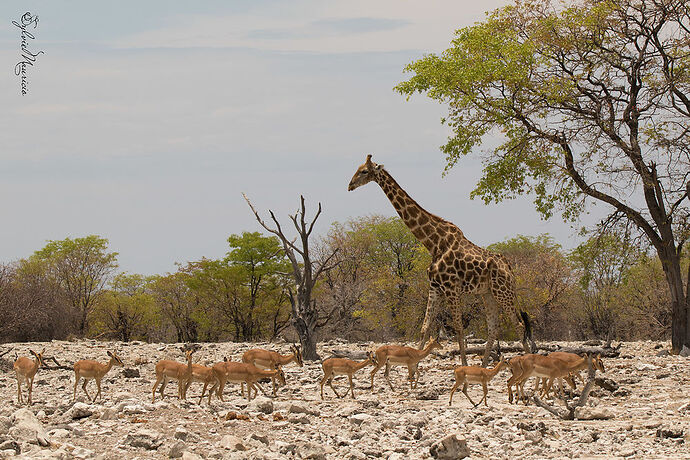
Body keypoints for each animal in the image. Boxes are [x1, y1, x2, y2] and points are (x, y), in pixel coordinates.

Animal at [346, 155, 536, 366]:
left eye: (364, 171)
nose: (350, 185)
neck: (434, 243)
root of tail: (510, 269)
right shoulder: (435, 287)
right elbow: (425, 327)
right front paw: (414, 367)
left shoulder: (452, 288)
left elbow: (459, 328)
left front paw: (463, 366)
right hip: (487, 293)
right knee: (493, 327)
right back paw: (484, 365)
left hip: (503, 291)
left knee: (519, 325)